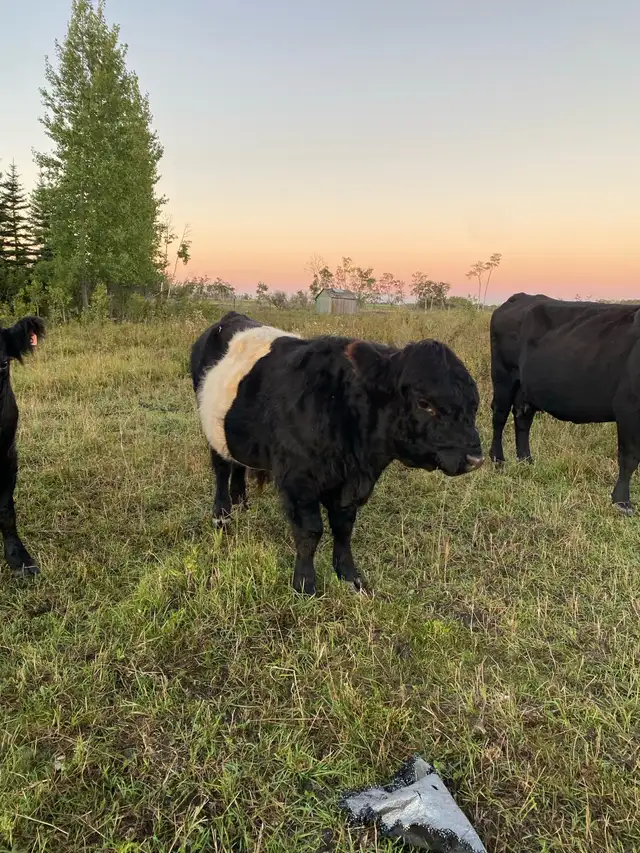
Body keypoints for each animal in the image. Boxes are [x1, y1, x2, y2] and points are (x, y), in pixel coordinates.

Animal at [190, 311, 484, 595]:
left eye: (473, 404)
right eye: (424, 403)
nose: (475, 459)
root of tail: (229, 317)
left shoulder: (350, 486)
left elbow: (343, 528)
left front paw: (350, 577)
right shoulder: (298, 480)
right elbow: (311, 531)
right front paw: (305, 585)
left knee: (237, 464)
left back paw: (241, 502)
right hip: (210, 426)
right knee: (221, 468)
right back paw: (222, 515)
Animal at [490, 292, 640, 513]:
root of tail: (522, 296)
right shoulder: (628, 407)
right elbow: (629, 457)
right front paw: (622, 502)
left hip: (525, 387)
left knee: (522, 418)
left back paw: (526, 461)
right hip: (503, 376)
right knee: (499, 416)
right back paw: (497, 460)